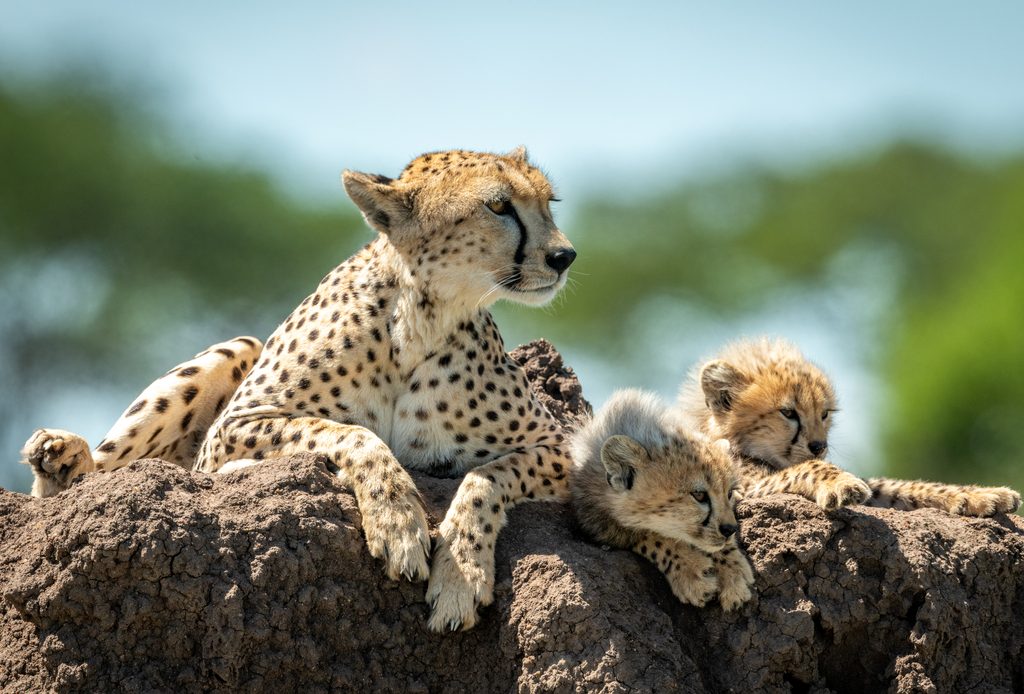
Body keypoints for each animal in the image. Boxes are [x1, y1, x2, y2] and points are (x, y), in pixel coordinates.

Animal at [19, 148, 577, 634]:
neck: (422, 317)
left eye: (549, 202)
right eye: (498, 206)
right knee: (99, 472)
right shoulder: (230, 429)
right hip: (237, 351)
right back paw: (61, 456)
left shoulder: (562, 450)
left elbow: (487, 476)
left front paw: (460, 576)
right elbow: (349, 434)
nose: (564, 255)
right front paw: (398, 521)